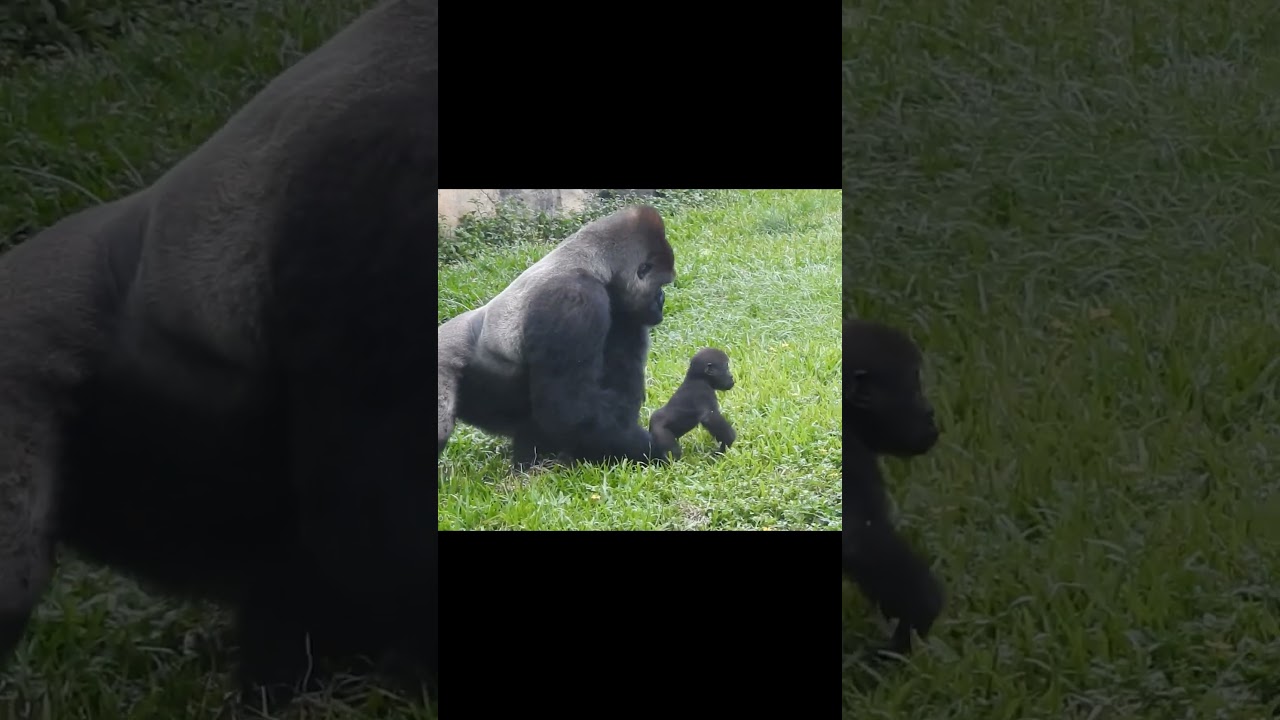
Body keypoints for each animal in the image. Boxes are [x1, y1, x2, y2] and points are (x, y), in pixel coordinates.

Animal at [437, 205, 676, 471]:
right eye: (661, 284)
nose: (662, 301)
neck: (593, 264)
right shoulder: (574, 301)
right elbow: (570, 412)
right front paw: (654, 450)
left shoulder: (627, 312)